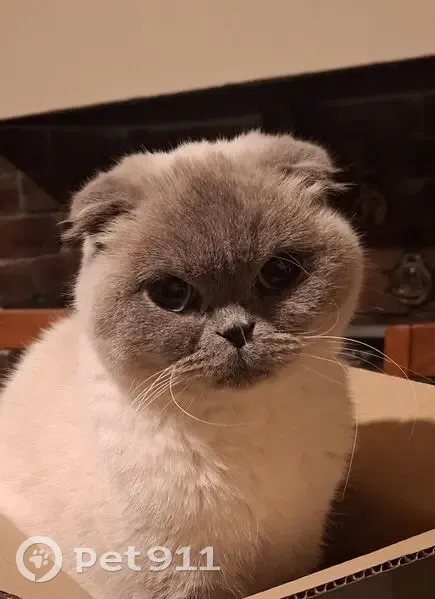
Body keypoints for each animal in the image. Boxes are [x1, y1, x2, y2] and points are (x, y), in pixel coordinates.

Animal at [0, 132, 363, 599]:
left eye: (279, 272)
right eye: (172, 294)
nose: (237, 331)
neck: (241, 426)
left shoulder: (294, 558)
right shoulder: (178, 580)